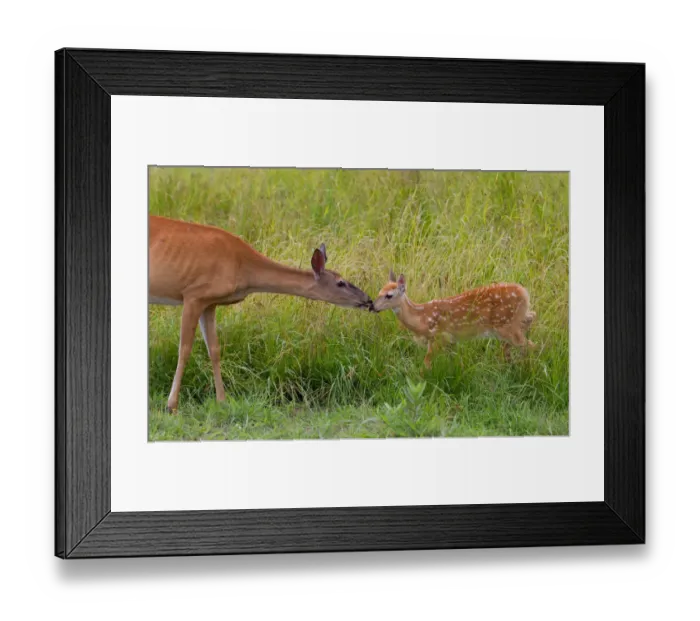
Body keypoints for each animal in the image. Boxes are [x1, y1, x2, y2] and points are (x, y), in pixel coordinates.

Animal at [149, 215, 374, 412]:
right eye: (340, 283)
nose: (368, 300)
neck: (243, 268)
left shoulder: (209, 302)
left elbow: (214, 350)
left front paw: (222, 401)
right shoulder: (193, 295)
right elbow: (184, 350)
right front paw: (171, 405)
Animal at [371, 270, 536, 368]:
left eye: (389, 295)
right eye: (379, 291)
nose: (372, 306)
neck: (422, 318)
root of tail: (525, 292)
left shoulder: (439, 337)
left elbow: (426, 363)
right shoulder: (448, 341)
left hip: (506, 325)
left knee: (531, 345)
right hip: (512, 323)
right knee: (531, 318)